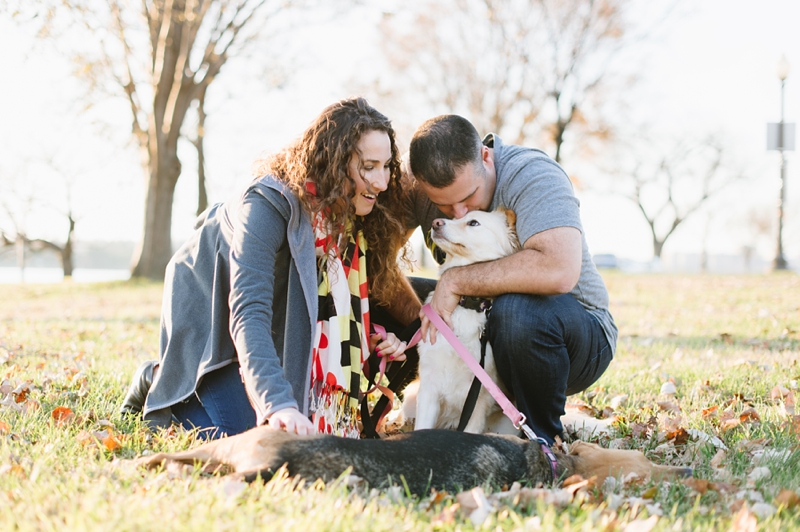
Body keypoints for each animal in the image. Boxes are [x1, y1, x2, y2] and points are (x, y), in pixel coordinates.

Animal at [412, 206, 524, 434]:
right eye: (456, 217)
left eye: (473, 222)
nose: (436, 223)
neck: (464, 303)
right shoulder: (428, 388)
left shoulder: (480, 398)